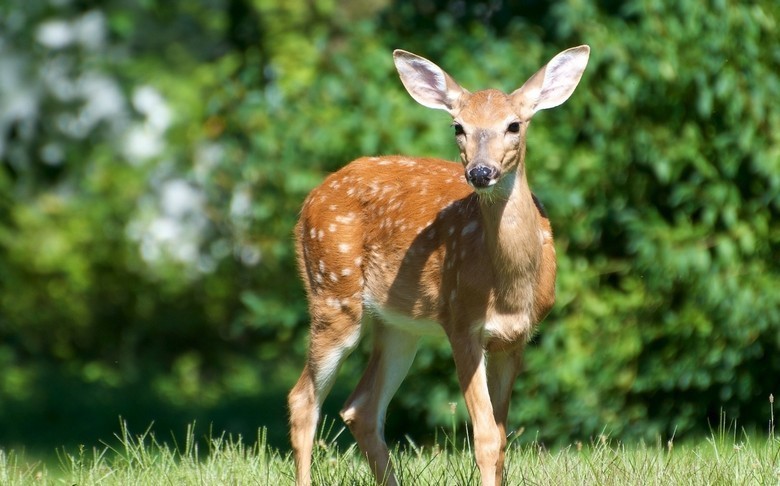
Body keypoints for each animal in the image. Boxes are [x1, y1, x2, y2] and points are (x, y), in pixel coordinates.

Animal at [288, 45, 590, 486]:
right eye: (458, 127)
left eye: (514, 125)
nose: (480, 172)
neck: (509, 287)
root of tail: (309, 200)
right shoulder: (460, 321)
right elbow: (485, 438)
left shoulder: (516, 337)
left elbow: (502, 439)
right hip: (333, 294)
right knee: (303, 399)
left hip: (400, 325)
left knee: (360, 407)